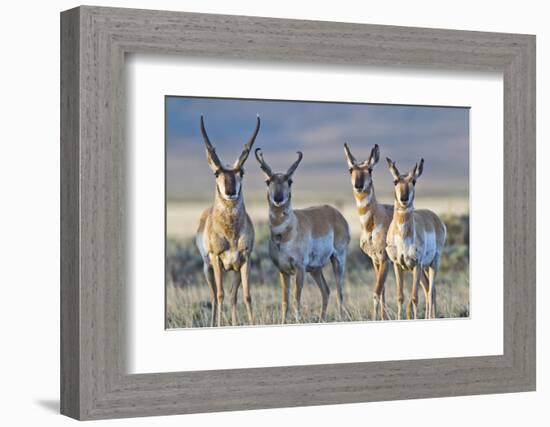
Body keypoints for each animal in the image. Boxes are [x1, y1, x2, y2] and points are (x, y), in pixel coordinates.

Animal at [196, 115, 260, 326]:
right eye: (217, 173)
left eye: (242, 172)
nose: (231, 191)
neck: (231, 233)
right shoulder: (216, 259)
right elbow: (220, 295)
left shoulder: (245, 260)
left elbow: (246, 296)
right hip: (208, 268)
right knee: (214, 296)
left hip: (233, 270)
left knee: (233, 296)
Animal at [254, 149, 350, 322]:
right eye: (267, 181)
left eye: (290, 181)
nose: (278, 198)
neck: (285, 234)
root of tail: (336, 214)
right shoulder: (283, 271)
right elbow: (285, 301)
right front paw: (283, 322)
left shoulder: (299, 268)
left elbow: (295, 299)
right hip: (315, 269)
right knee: (326, 290)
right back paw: (321, 319)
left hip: (338, 260)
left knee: (339, 291)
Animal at [344, 145, 396, 320]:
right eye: (351, 169)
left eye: (370, 169)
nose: (358, 185)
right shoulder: (375, 260)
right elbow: (383, 292)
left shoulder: (384, 260)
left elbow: (376, 293)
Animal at [386, 159, 446, 320]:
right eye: (395, 181)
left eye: (413, 181)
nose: (404, 198)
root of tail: (435, 218)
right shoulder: (397, 265)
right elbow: (400, 296)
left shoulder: (416, 264)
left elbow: (414, 297)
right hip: (424, 268)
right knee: (429, 289)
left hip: (433, 263)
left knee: (431, 291)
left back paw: (431, 317)